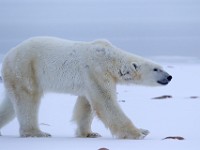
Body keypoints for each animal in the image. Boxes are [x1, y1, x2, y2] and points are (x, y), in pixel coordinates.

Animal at [0, 36, 172, 139]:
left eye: (161, 67)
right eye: (156, 69)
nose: (169, 77)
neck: (110, 58)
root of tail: (8, 55)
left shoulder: (90, 79)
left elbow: (85, 105)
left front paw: (90, 133)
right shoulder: (96, 70)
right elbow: (106, 103)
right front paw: (137, 133)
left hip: (16, 75)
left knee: (11, 104)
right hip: (26, 68)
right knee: (27, 100)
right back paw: (37, 132)